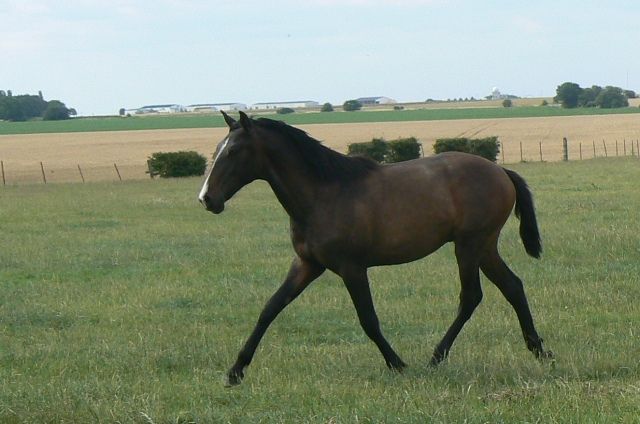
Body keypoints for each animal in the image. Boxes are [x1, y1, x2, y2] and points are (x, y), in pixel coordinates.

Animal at [198, 111, 552, 386]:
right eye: (217, 149)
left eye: (233, 152)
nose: (206, 199)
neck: (323, 194)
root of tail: (501, 171)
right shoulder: (307, 264)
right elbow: (270, 308)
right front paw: (235, 371)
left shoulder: (352, 268)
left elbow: (368, 319)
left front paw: (397, 363)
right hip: (484, 247)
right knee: (513, 286)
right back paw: (540, 350)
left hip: (469, 246)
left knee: (471, 297)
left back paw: (437, 356)